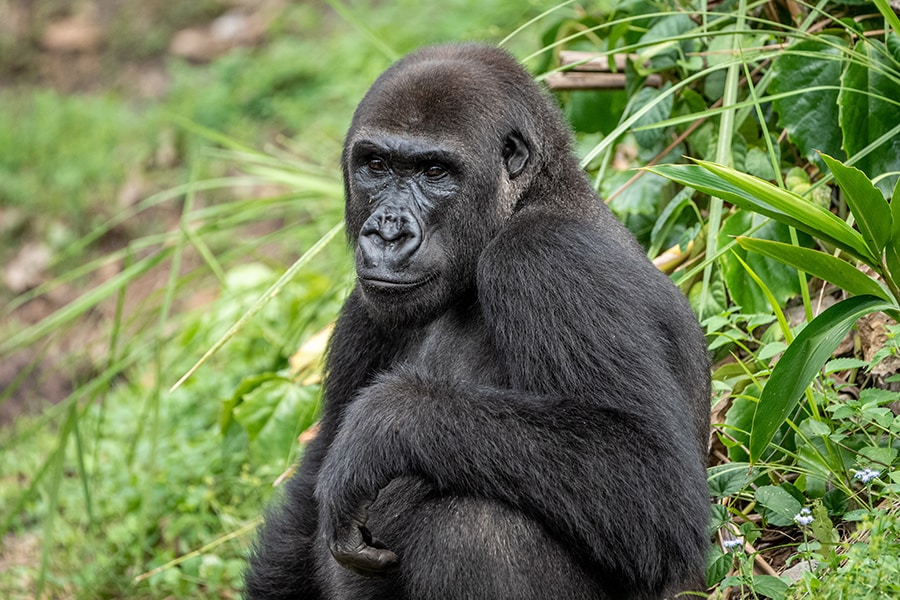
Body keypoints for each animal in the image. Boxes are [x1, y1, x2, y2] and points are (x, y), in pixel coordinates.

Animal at [244, 43, 712, 600]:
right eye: (375, 165)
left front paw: (385, 424)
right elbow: (313, 479)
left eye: (434, 172)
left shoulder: (545, 257)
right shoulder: (363, 308)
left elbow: (650, 477)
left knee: (477, 527)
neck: (528, 200)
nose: (387, 233)